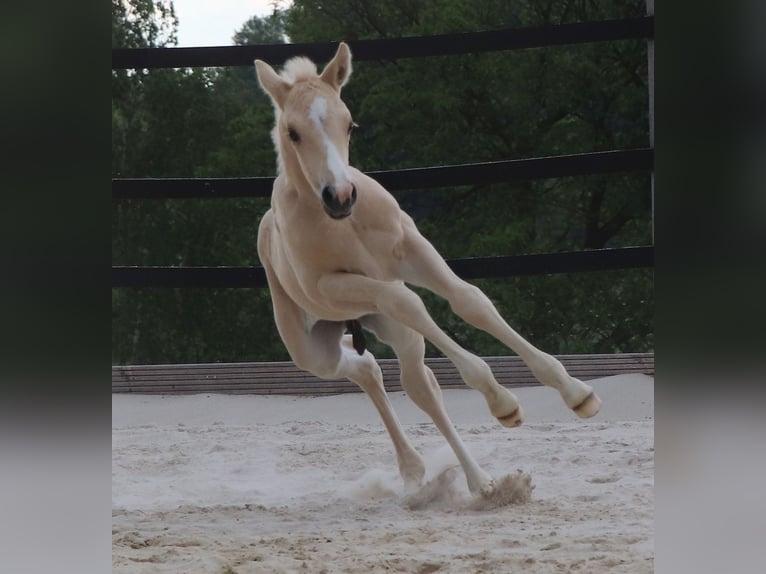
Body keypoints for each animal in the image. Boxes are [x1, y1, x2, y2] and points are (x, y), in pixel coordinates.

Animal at [255, 42, 604, 498]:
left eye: (349, 124)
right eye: (293, 132)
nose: (341, 195)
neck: (342, 223)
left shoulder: (413, 250)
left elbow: (470, 301)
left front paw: (576, 392)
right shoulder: (330, 285)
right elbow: (408, 300)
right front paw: (502, 400)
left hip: (388, 329)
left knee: (409, 382)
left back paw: (463, 478)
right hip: (315, 350)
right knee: (371, 367)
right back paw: (455, 475)